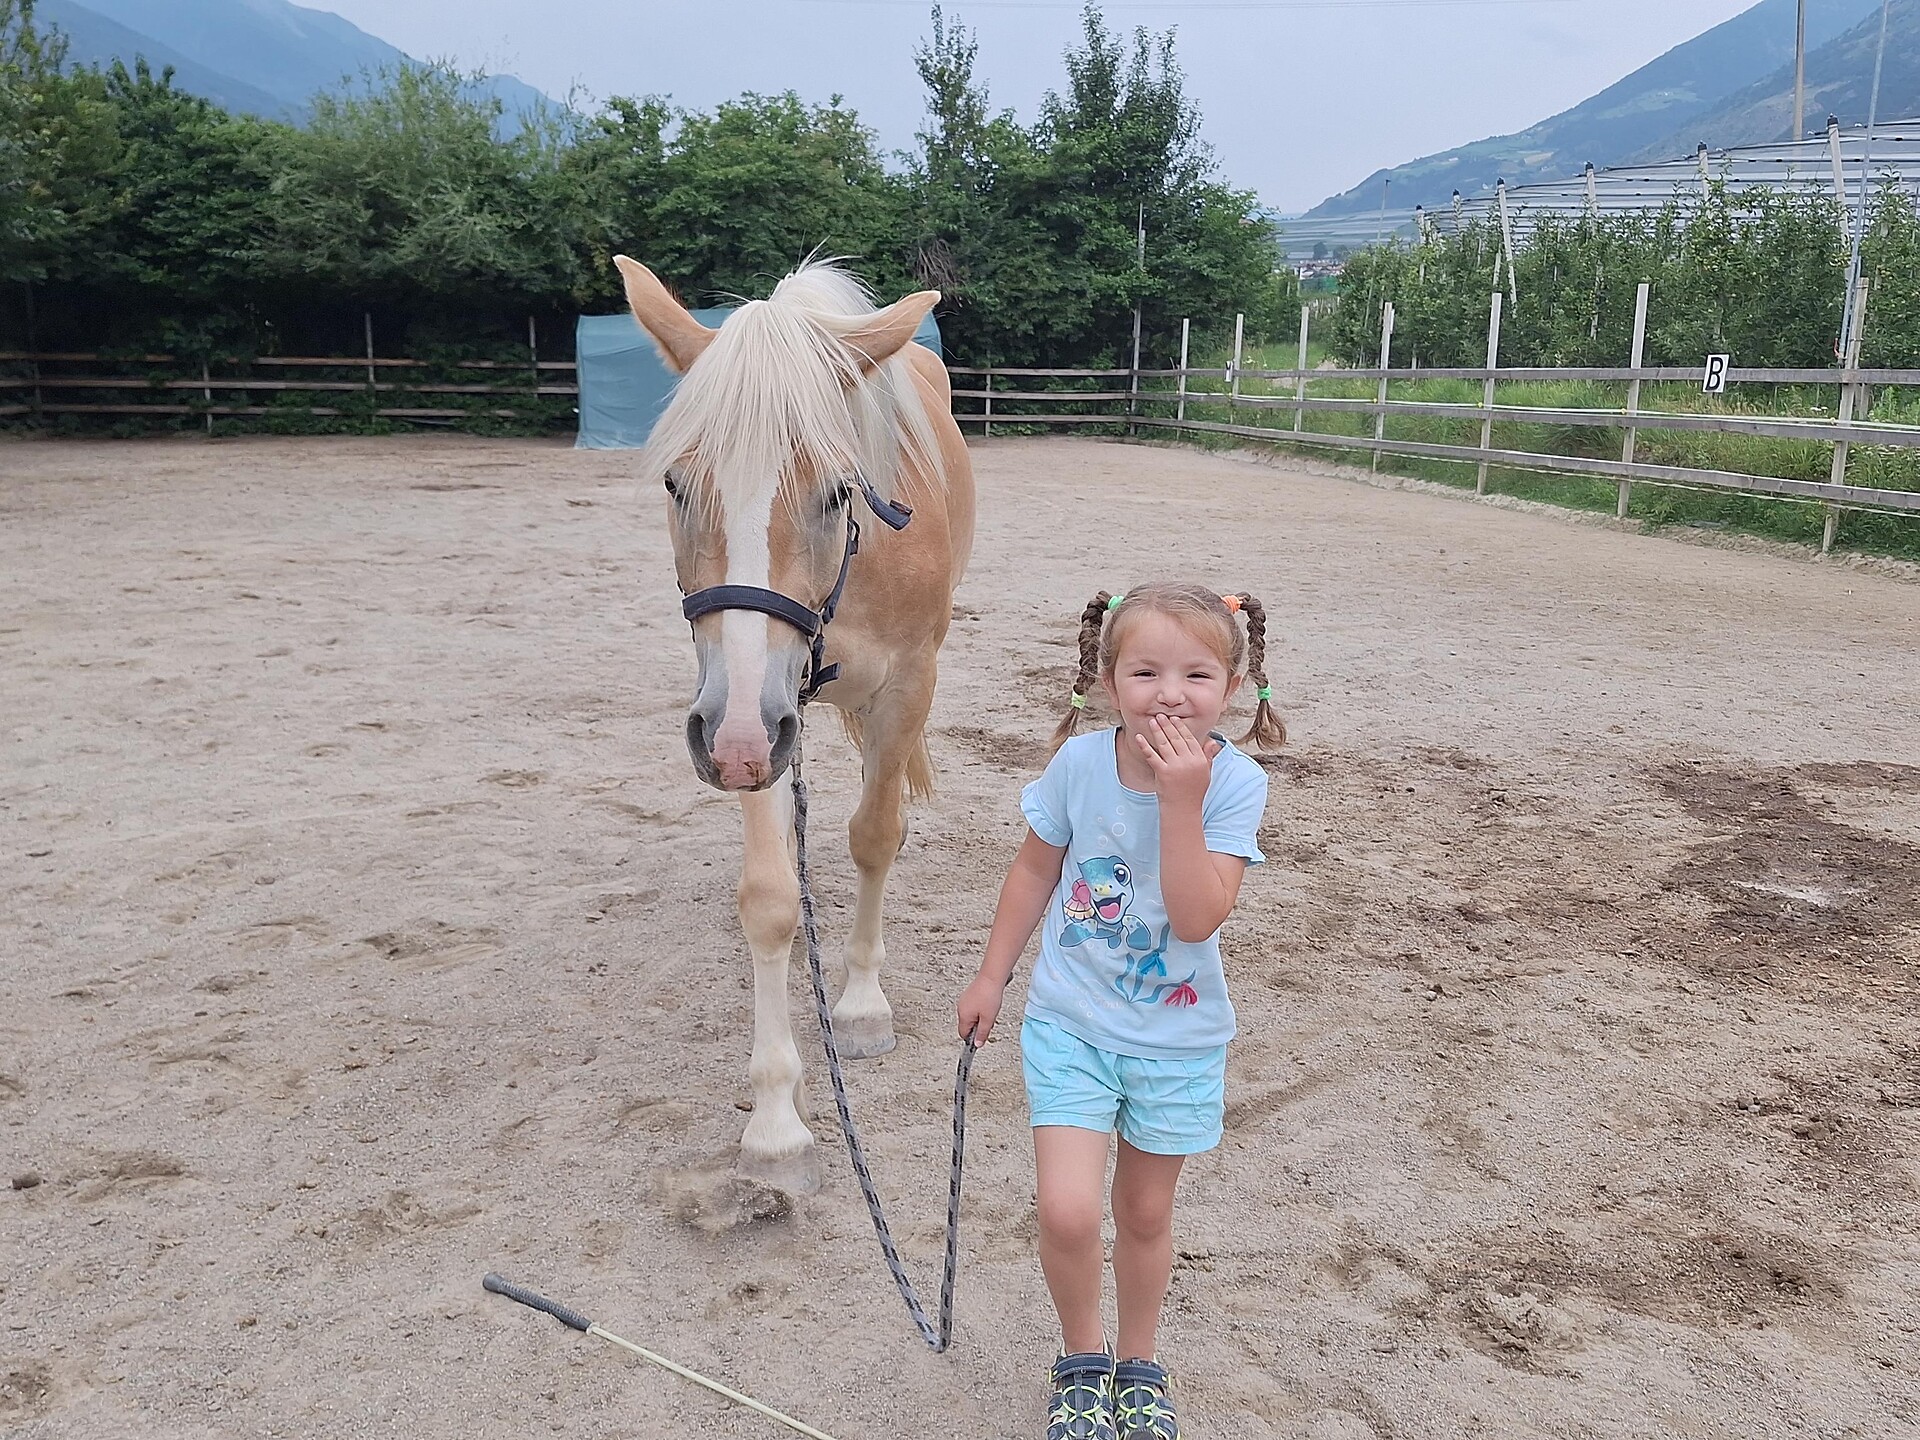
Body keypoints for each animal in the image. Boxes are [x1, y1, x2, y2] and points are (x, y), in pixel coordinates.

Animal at [614, 254, 976, 1191]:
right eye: (676, 484)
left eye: (838, 490)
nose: (737, 741)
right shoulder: (748, 714)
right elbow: (771, 897)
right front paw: (777, 1121)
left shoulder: (903, 688)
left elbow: (875, 838)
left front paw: (860, 1006)